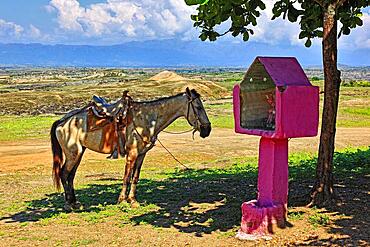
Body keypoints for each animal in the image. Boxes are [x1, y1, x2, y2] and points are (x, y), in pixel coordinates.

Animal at [50, 89, 211, 210]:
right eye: (198, 107)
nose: (207, 130)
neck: (147, 119)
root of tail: (62, 121)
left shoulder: (141, 155)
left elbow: (135, 177)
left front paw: (132, 200)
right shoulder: (132, 154)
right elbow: (127, 177)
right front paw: (122, 199)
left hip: (78, 153)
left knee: (70, 176)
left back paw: (75, 202)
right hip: (73, 154)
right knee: (64, 174)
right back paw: (69, 204)